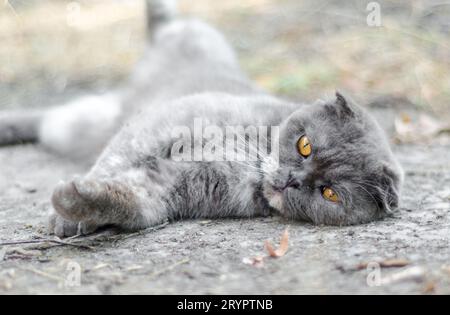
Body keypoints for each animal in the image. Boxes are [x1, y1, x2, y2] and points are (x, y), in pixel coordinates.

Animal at [0, 0, 402, 237]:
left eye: (328, 192)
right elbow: (111, 162)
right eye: (305, 145)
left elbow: (133, 203)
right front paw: (67, 216)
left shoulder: (173, 187)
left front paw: (79, 206)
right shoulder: (155, 126)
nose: (292, 180)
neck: (250, 166)